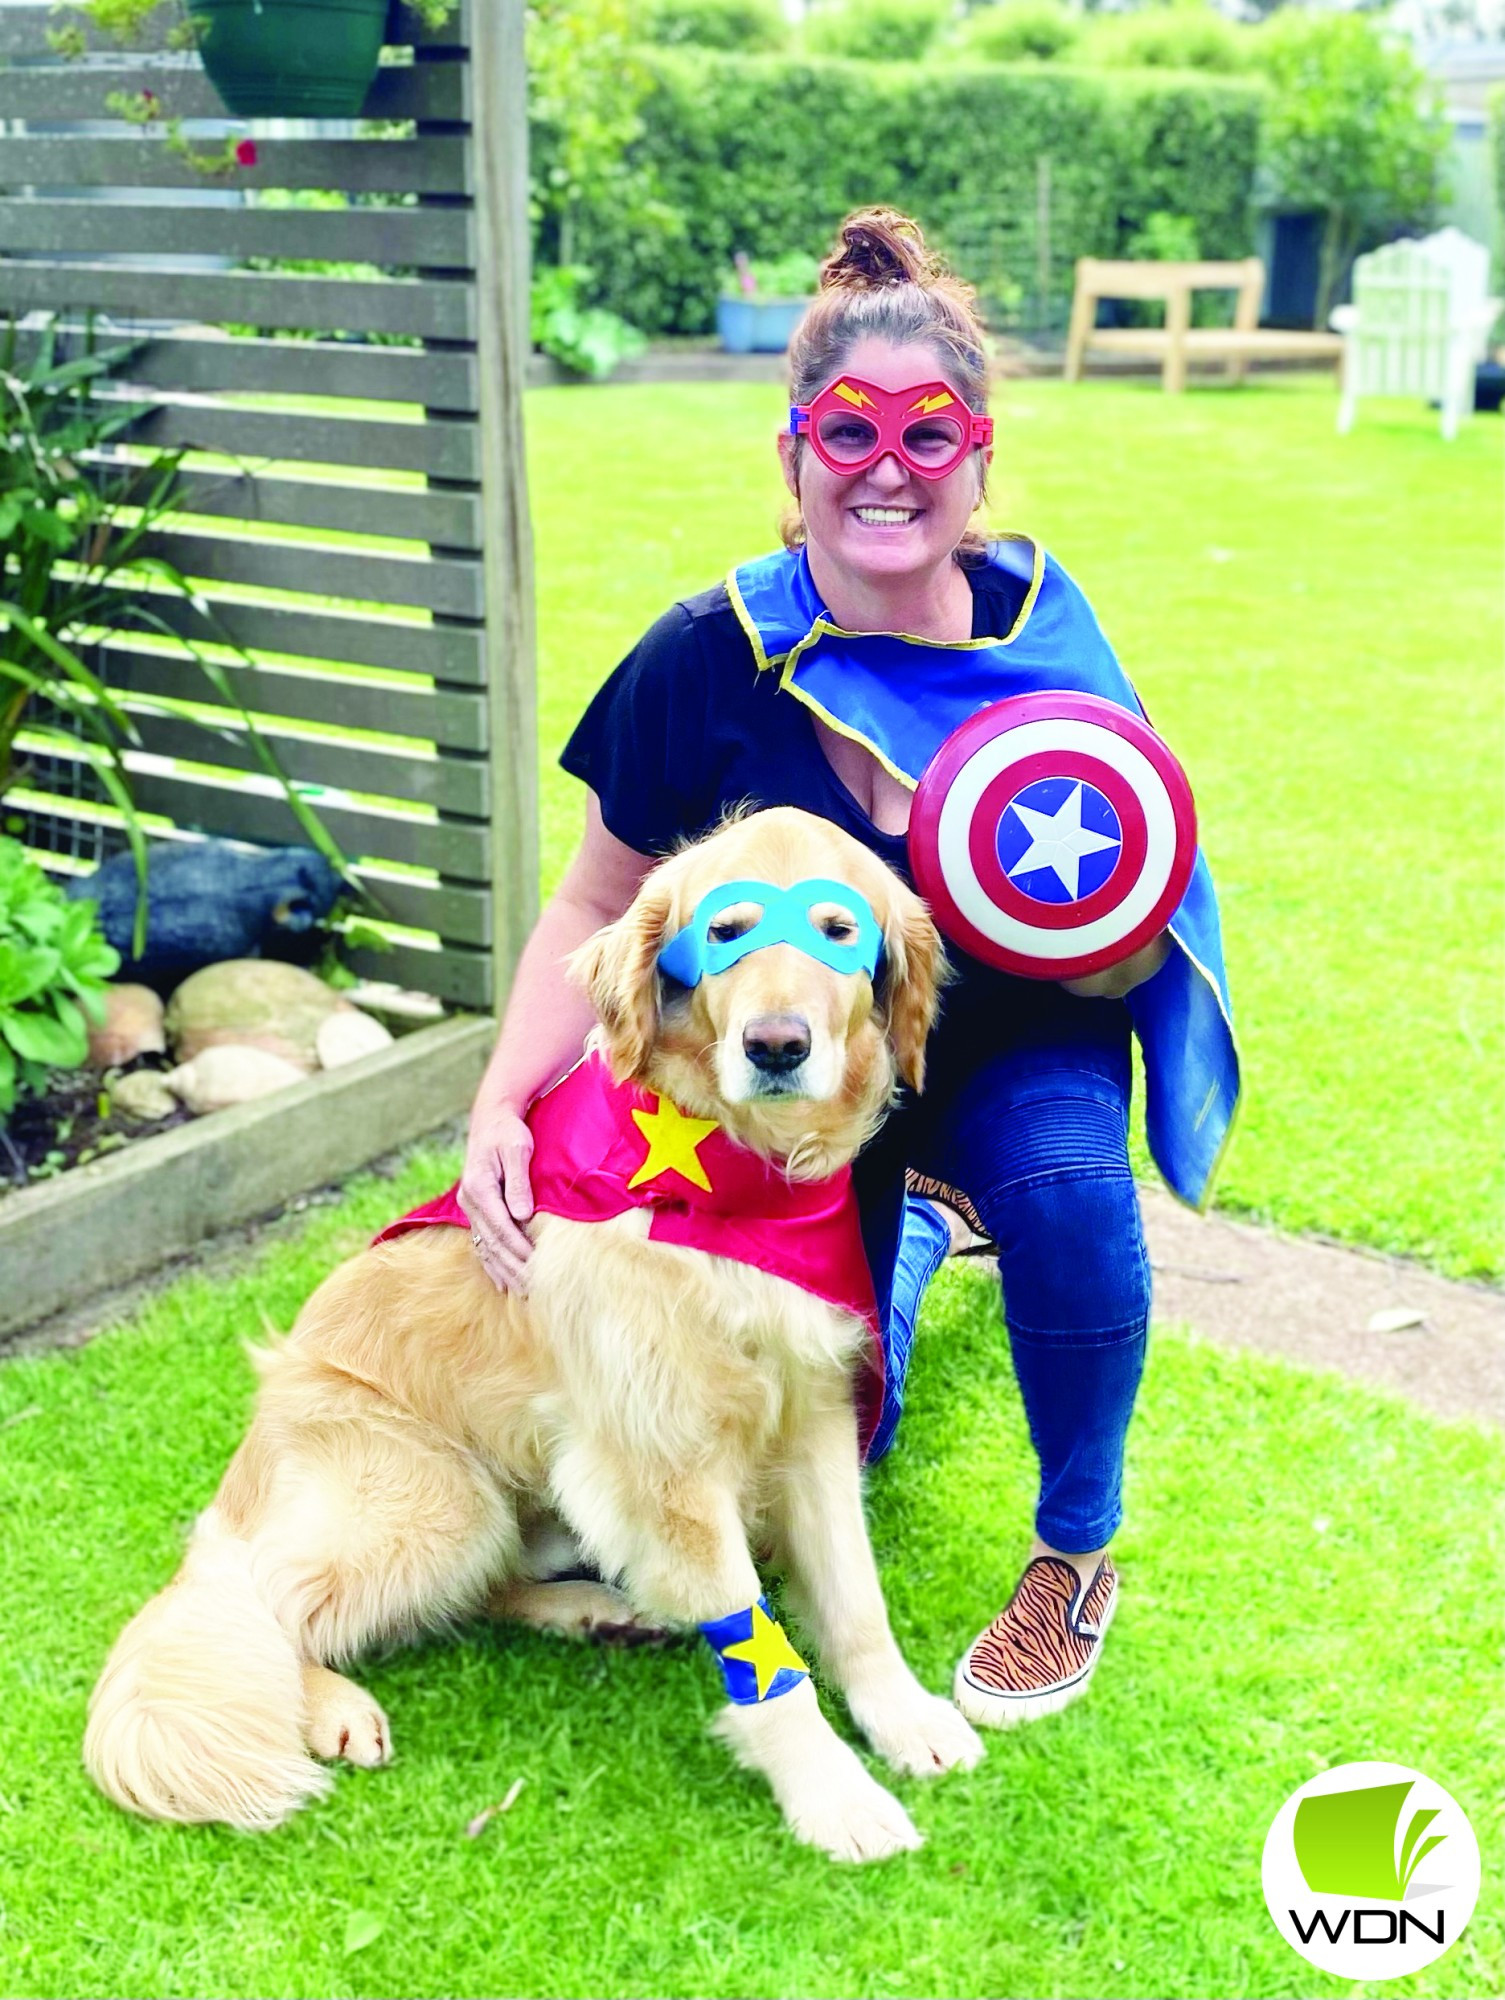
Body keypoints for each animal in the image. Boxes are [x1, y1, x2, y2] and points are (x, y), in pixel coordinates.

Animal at [91, 808, 988, 1856]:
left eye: (837, 933)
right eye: (725, 932)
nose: (776, 1044)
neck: (735, 1180)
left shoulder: (810, 1418)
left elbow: (855, 1600)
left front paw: (902, 1717)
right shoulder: (668, 1460)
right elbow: (764, 1659)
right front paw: (832, 1796)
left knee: (485, 1588)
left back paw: (594, 1611)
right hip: (436, 1498)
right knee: (267, 1605)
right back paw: (332, 1704)